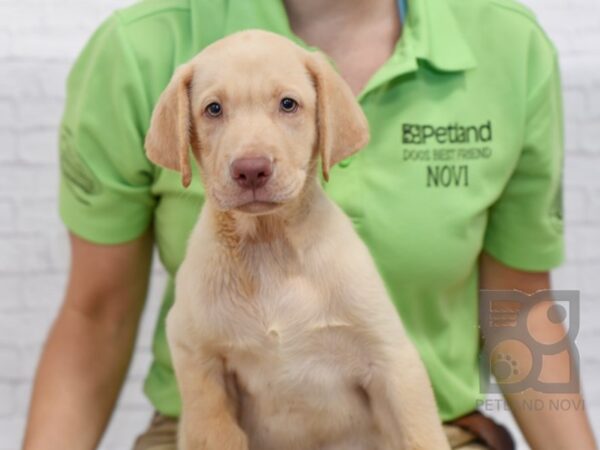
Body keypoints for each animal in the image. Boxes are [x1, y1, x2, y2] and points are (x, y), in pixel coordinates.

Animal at [144, 30, 446, 450]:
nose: (251, 170)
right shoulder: (195, 354)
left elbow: (421, 434)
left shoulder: (392, 361)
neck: (270, 246)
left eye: (288, 104)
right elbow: (214, 429)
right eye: (213, 109)